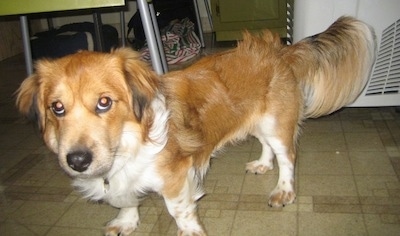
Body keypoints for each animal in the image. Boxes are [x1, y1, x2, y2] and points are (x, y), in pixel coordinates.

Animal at [15, 16, 376, 236]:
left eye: (104, 102)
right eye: (57, 108)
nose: (77, 161)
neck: (128, 144)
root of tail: (280, 50)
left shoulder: (177, 178)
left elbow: (179, 211)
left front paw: (189, 231)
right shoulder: (122, 182)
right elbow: (126, 201)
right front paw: (126, 222)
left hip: (276, 123)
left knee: (287, 158)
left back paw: (283, 190)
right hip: (258, 121)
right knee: (268, 148)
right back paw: (262, 164)